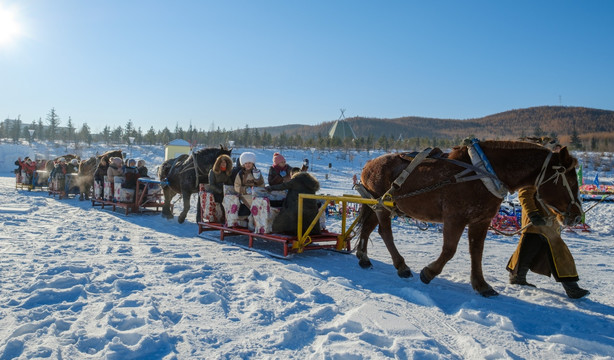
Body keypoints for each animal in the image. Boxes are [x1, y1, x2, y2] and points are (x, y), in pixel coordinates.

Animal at [356, 141, 584, 298]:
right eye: (571, 181)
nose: (576, 215)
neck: (485, 174)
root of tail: (368, 164)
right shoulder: (454, 219)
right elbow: (449, 250)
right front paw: (429, 272)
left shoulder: (480, 221)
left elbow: (476, 252)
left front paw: (481, 285)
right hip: (382, 208)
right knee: (385, 233)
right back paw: (401, 266)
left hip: (378, 206)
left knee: (367, 228)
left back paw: (363, 258)